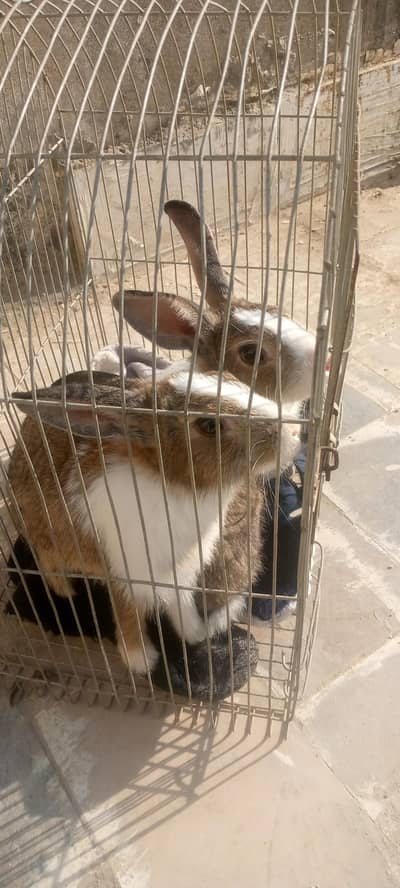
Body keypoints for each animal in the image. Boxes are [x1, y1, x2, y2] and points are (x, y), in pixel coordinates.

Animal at [8, 369, 299, 676]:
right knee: (47, 562)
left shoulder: (179, 575)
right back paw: (66, 592)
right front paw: (142, 659)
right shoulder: (125, 571)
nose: (294, 432)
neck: (174, 484)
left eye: (229, 376)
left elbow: (182, 608)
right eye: (209, 425)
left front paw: (198, 634)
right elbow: (127, 611)